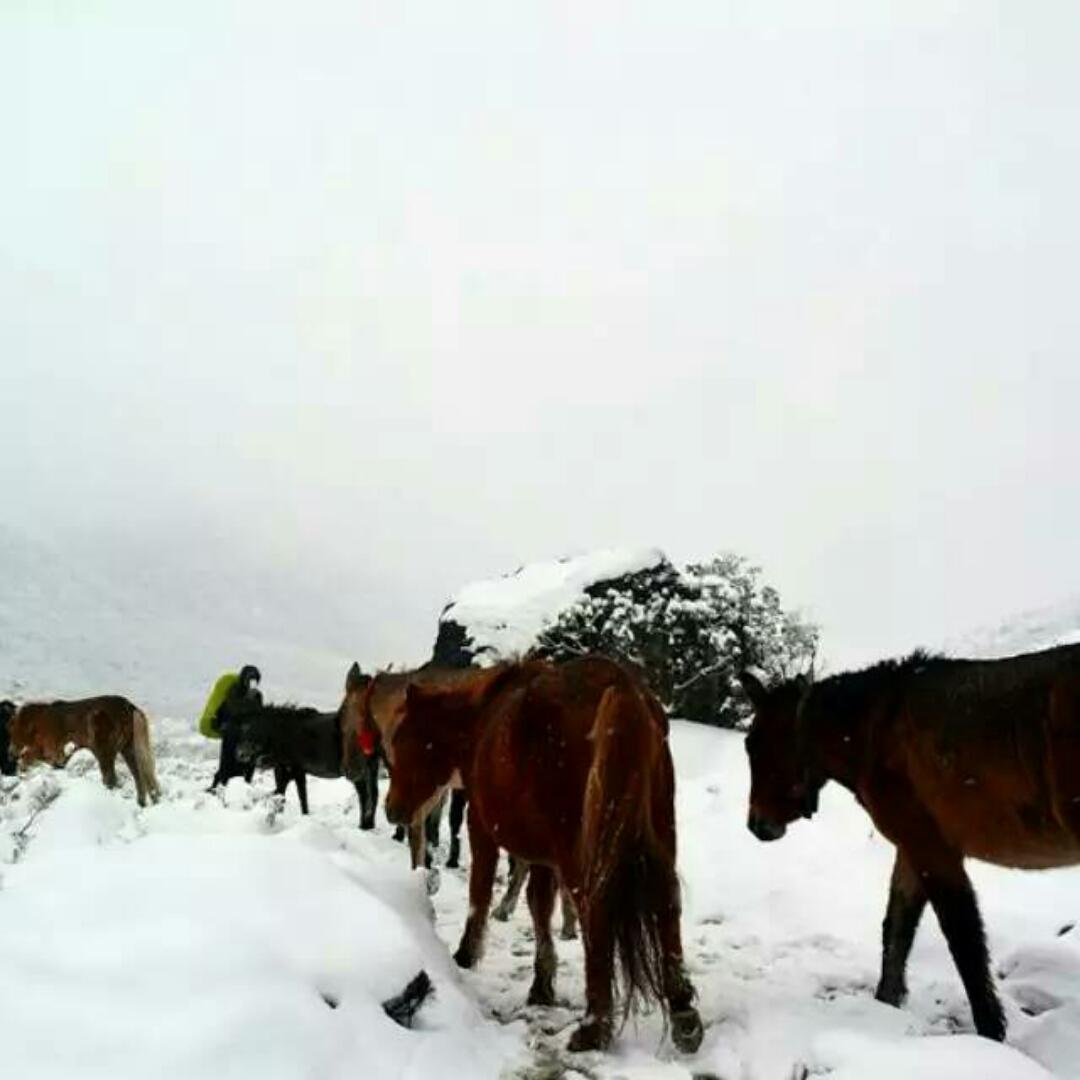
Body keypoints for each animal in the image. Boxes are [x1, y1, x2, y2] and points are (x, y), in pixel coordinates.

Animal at [8, 695, 162, 807]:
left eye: (11, 731)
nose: (10, 753)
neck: (39, 721)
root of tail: (129, 707)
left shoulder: (53, 751)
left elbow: (30, 757)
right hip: (128, 749)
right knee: (139, 776)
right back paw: (143, 802)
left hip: (104, 750)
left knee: (111, 778)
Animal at [384, 652, 704, 1049]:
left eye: (406, 739)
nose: (392, 810)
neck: (480, 722)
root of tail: (621, 687)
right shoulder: (543, 854)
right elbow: (539, 904)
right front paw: (542, 983)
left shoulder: (483, 829)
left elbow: (481, 893)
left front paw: (466, 954)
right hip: (659, 836)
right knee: (667, 902)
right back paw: (683, 1014)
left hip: (582, 854)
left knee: (596, 912)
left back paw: (595, 1026)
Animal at [743, 643, 1080, 1041]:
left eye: (753, 744)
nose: (757, 825)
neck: (873, 732)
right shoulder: (911, 848)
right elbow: (896, 930)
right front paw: (885, 1003)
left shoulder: (933, 851)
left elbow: (964, 944)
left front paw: (991, 1033)